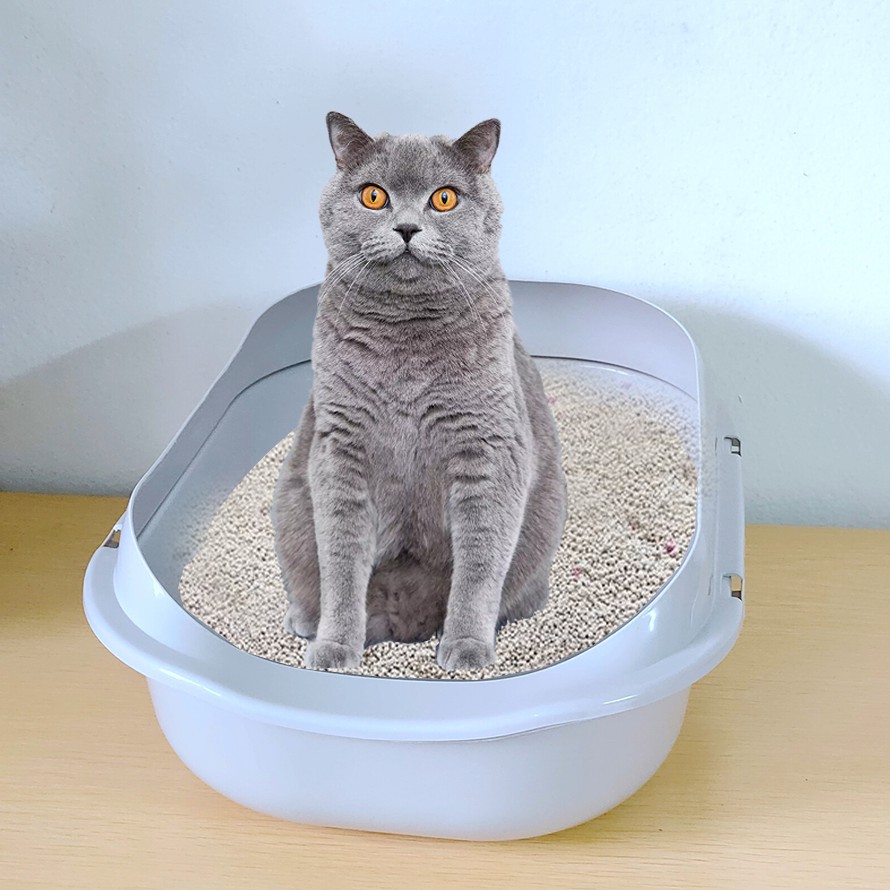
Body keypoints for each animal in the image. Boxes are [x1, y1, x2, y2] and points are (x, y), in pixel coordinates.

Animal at [270, 112, 567, 672]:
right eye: (373, 196)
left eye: (444, 198)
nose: (407, 228)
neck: (406, 346)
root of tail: (405, 621)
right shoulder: (340, 450)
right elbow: (340, 559)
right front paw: (336, 648)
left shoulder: (488, 448)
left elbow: (480, 561)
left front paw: (467, 647)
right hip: (290, 509)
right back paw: (305, 621)